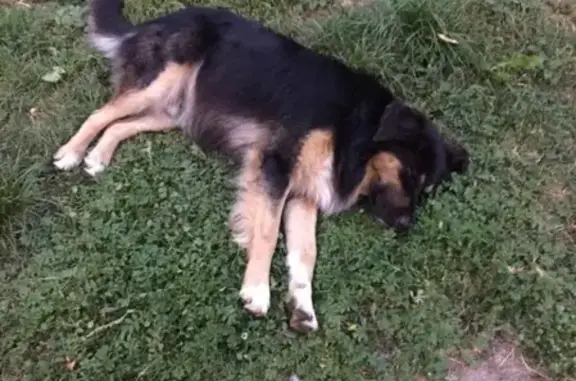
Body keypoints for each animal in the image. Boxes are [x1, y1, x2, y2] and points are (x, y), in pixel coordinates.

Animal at [53, 0, 468, 332]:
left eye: (426, 189)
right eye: (410, 175)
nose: (405, 227)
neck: (355, 128)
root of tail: (152, 22)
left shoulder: (304, 193)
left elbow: (306, 253)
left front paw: (303, 308)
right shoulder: (276, 166)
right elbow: (267, 233)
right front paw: (256, 290)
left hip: (174, 111)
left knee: (120, 124)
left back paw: (98, 157)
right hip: (162, 81)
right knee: (100, 113)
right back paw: (71, 152)